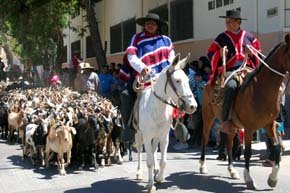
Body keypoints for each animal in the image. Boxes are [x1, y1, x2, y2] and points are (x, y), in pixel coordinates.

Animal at [134, 54, 197, 193]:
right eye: (177, 80)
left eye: (187, 80)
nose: (192, 106)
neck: (157, 108)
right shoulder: (147, 136)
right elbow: (149, 161)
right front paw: (151, 185)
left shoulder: (164, 137)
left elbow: (163, 161)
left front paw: (158, 177)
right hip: (139, 134)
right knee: (140, 150)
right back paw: (139, 172)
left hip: (157, 136)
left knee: (154, 149)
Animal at [199, 34, 290, 189]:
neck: (261, 90)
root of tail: (209, 82)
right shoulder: (249, 127)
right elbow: (247, 152)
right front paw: (248, 179)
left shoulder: (269, 124)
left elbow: (277, 147)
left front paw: (272, 179)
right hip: (208, 116)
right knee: (205, 138)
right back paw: (202, 166)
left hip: (232, 125)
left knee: (229, 144)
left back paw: (232, 170)